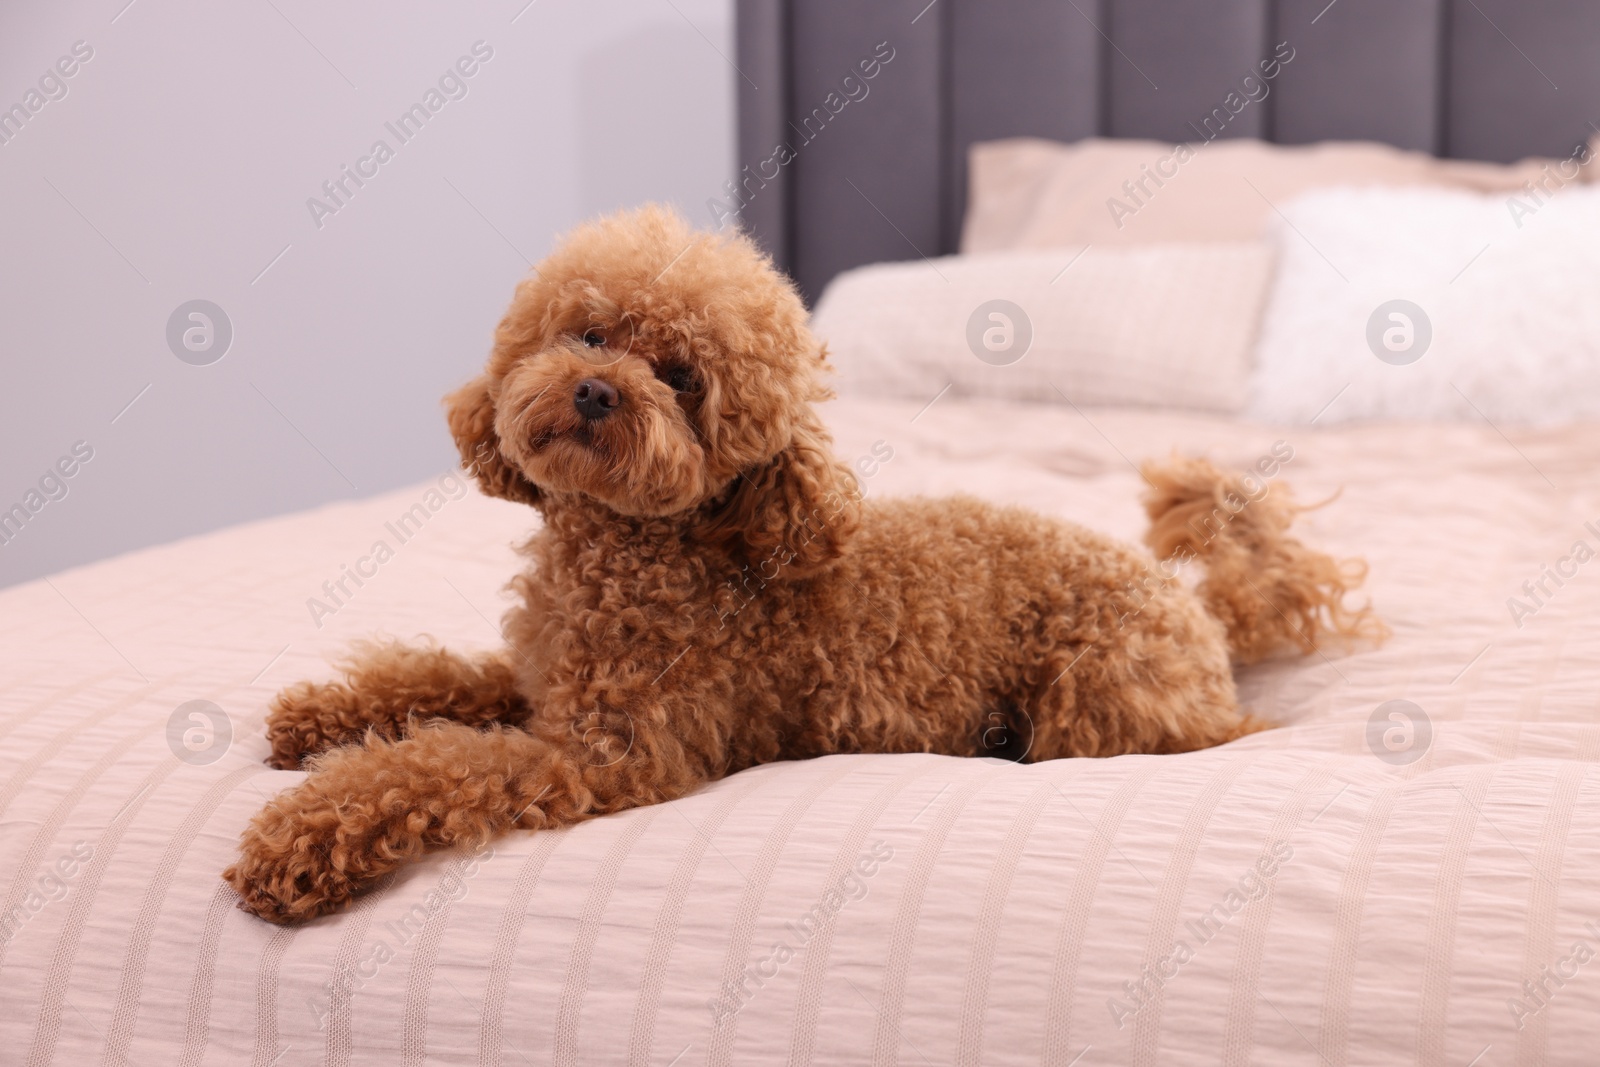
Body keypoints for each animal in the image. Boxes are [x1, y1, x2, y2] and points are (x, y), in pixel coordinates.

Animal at [222, 204, 1376, 921]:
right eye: (589, 332)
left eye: (682, 377)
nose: (596, 391)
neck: (634, 549)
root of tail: (1200, 614)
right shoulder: (540, 678)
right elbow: (438, 681)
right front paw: (316, 718)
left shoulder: (611, 756)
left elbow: (432, 766)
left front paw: (293, 840)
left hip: (1096, 702)